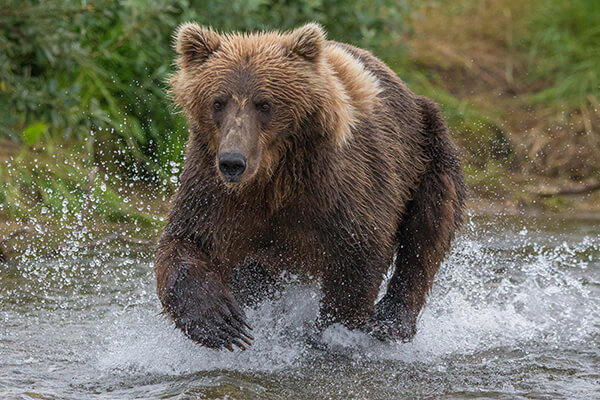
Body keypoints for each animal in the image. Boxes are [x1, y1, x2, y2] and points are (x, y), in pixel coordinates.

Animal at [154, 22, 464, 350]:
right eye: (218, 102)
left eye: (265, 104)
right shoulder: (213, 187)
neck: (274, 177)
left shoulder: (341, 187)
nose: (233, 161)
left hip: (426, 152)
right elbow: (188, 240)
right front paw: (221, 322)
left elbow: (360, 251)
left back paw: (392, 320)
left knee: (427, 230)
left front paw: (329, 330)